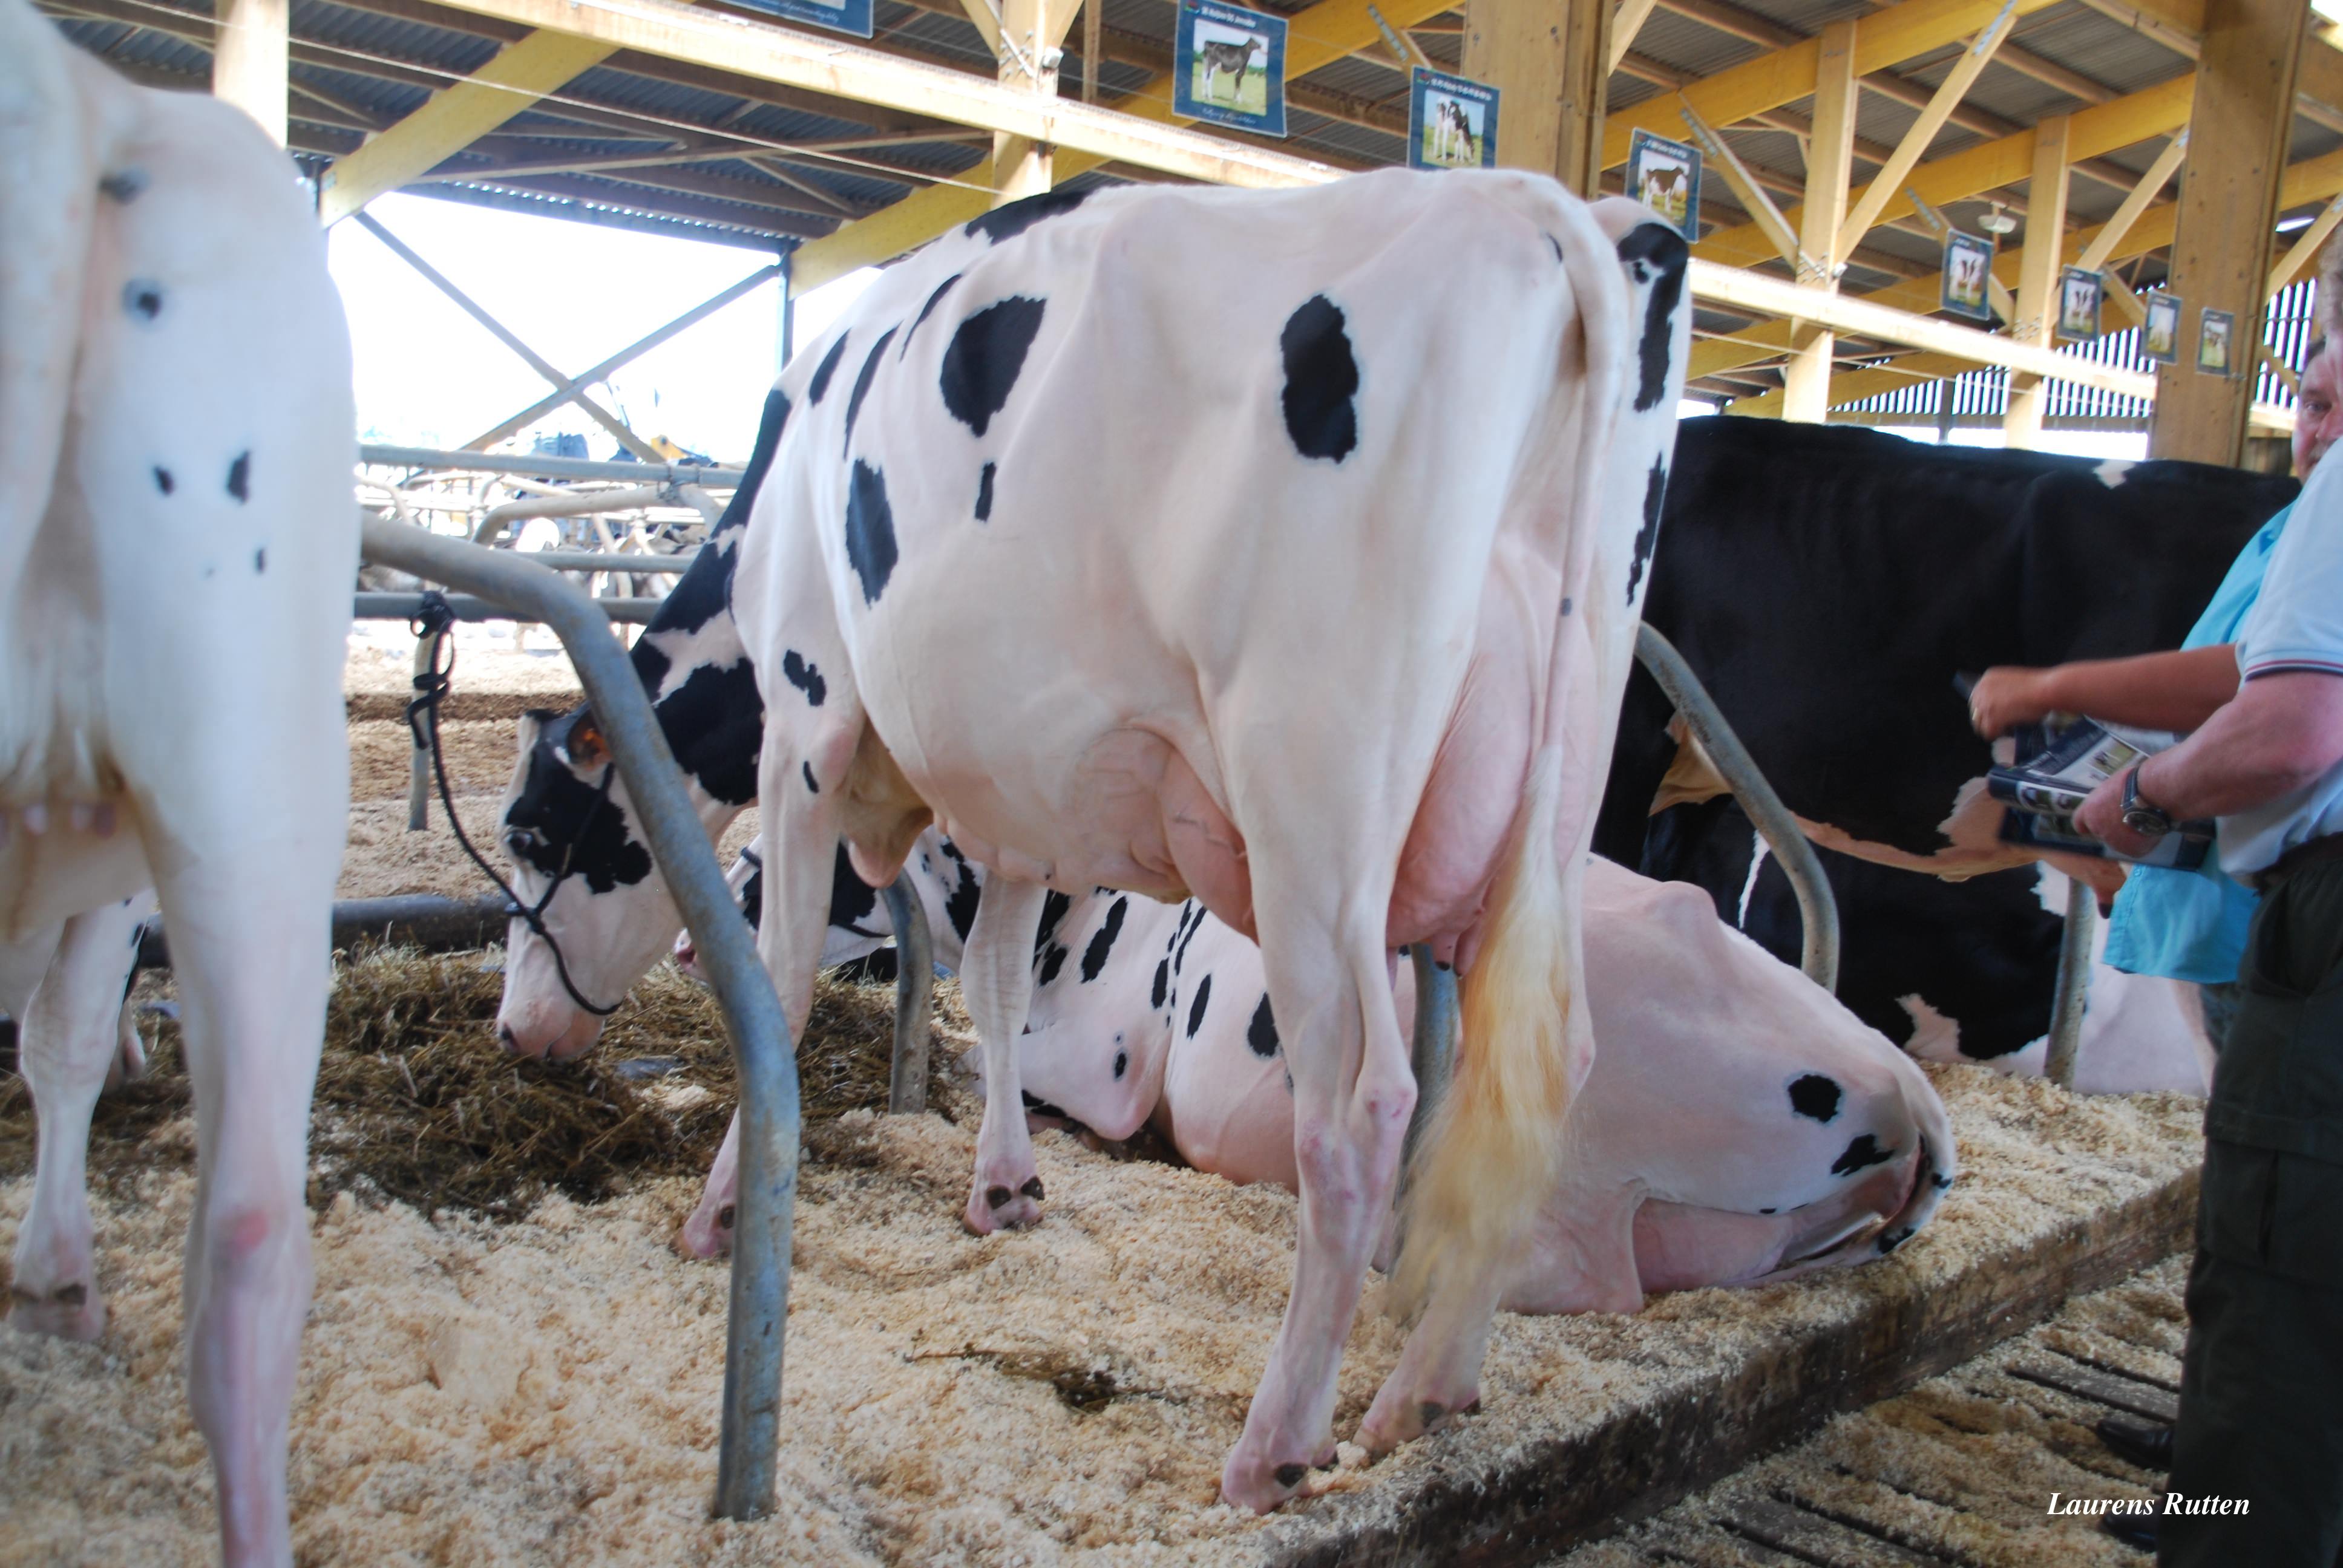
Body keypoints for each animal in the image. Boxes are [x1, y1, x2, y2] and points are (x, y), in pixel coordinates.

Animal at [492, 169, 1690, 1507]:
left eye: (532, 833)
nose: (514, 1033)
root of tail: (1541, 208)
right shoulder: (1020, 799)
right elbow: (999, 990)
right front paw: (1004, 1186)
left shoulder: (806, 721)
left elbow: (782, 992)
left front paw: (717, 1217)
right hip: (1556, 787)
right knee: (1549, 1063)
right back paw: (1427, 1390)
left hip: (1314, 808)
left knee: (1363, 1105)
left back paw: (1274, 1447)